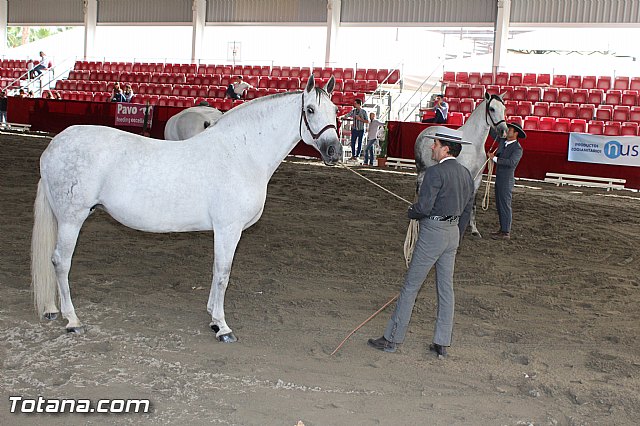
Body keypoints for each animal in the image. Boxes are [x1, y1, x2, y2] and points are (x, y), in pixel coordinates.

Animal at [31, 75, 341, 342]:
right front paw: (223, 327)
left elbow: (216, 270)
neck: (241, 154)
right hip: (72, 219)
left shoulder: (222, 231)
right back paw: (73, 321)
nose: (335, 152)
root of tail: (54, 146)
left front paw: (213, 317)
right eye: (310, 109)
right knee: (60, 261)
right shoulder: (228, 229)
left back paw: (52, 309)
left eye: (336, 110)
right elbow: (224, 273)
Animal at [414, 92, 508, 237]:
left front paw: (474, 229)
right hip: (421, 169)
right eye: (492, 109)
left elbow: (473, 204)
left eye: (504, 109)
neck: (473, 144)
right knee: (419, 189)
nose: (503, 131)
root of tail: (425, 132)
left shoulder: (477, 179)